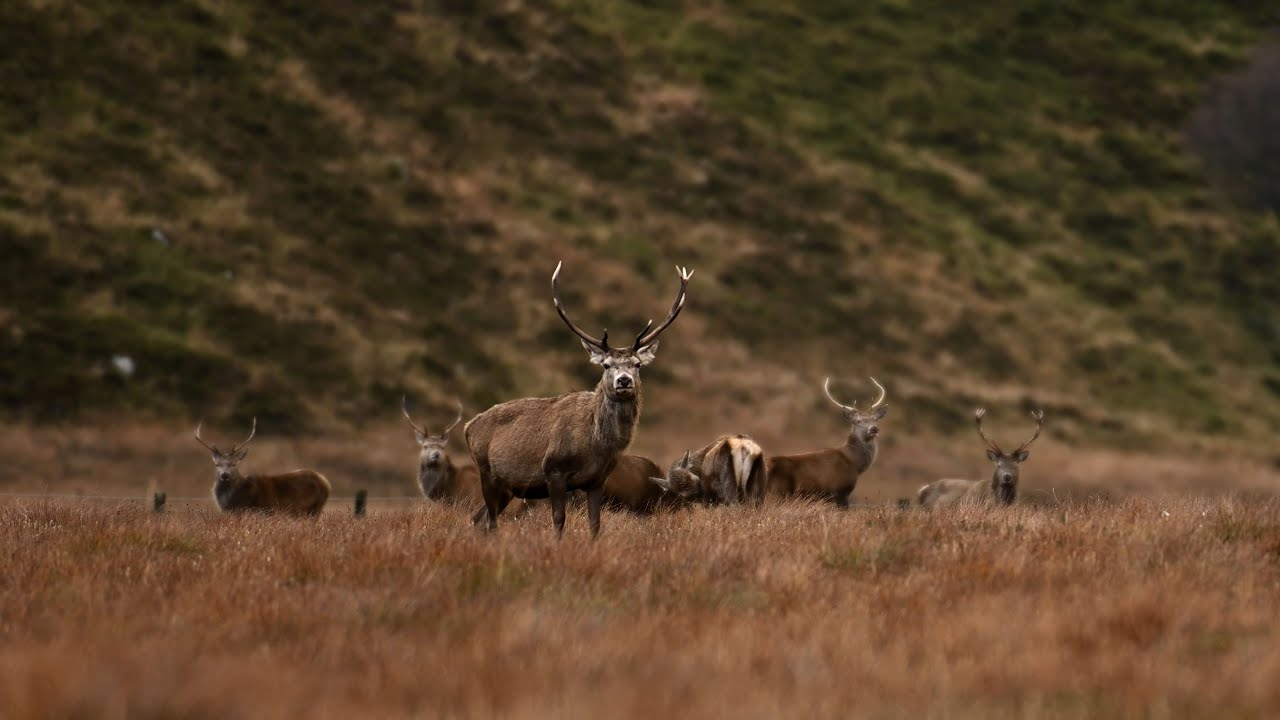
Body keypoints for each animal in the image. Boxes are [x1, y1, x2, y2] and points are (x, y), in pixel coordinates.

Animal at [194, 418, 330, 515]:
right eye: (217, 464)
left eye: (234, 464)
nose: (225, 475)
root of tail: (326, 483)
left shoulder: (264, 510)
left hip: (315, 508)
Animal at [464, 261, 693, 538]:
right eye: (606, 365)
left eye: (637, 364)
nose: (623, 380)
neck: (595, 446)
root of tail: (468, 427)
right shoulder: (554, 470)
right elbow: (559, 519)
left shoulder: (597, 480)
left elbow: (595, 523)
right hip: (486, 472)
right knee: (490, 520)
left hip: (508, 486)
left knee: (479, 519)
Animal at [765, 377, 888, 508]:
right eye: (858, 421)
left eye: (875, 420)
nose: (874, 429)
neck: (854, 463)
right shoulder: (840, 491)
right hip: (779, 492)